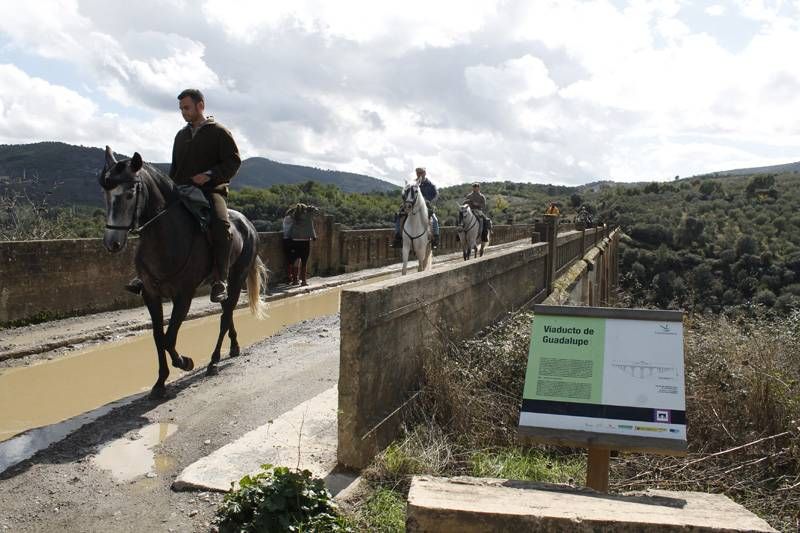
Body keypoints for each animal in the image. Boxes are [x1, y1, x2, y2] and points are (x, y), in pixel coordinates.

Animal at [98, 144, 268, 394]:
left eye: (129, 194)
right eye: (106, 194)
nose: (112, 243)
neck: (166, 237)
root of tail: (248, 224)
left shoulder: (184, 294)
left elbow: (169, 338)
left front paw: (185, 362)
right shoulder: (151, 294)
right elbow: (158, 337)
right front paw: (160, 382)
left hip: (237, 277)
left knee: (225, 316)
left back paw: (214, 360)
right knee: (226, 310)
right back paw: (234, 346)